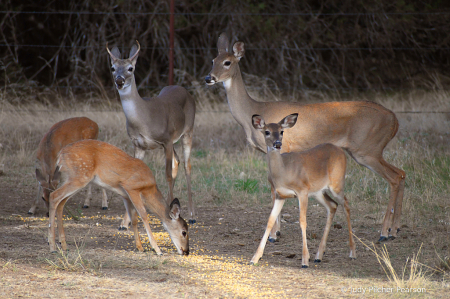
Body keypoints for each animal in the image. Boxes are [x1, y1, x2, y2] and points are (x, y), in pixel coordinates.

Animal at [48, 140, 189, 255]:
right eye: (184, 232)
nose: (186, 251)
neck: (148, 188)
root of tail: (61, 155)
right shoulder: (131, 188)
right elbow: (144, 215)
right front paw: (157, 249)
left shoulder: (125, 195)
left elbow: (134, 219)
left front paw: (140, 247)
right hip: (79, 176)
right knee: (54, 196)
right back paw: (52, 247)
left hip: (74, 178)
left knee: (61, 203)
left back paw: (64, 245)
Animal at [107, 41, 197, 230]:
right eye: (112, 68)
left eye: (131, 68)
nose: (119, 81)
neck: (144, 119)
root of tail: (184, 89)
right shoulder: (138, 144)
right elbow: (132, 177)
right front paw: (124, 223)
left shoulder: (166, 139)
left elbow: (167, 174)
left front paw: (170, 215)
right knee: (178, 161)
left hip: (188, 131)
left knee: (187, 165)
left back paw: (192, 215)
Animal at [206, 32, 406, 244]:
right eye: (213, 60)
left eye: (227, 62)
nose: (208, 78)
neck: (251, 112)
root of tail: (394, 119)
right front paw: (277, 232)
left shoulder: (281, 147)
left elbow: (274, 189)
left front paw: (273, 235)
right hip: (369, 150)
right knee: (401, 173)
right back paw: (395, 229)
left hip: (367, 149)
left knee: (394, 177)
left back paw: (384, 232)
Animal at [250, 113, 356, 268]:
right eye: (267, 131)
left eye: (282, 131)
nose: (278, 144)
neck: (284, 172)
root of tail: (341, 151)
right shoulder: (280, 195)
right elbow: (270, 220)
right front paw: (255, 257)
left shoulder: (302, 191)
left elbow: (302, 221)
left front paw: (305, 260)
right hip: (319, 192)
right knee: (332, 205)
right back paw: (319, 256)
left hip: (337, 183)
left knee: (346, 204)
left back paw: (352, 252)